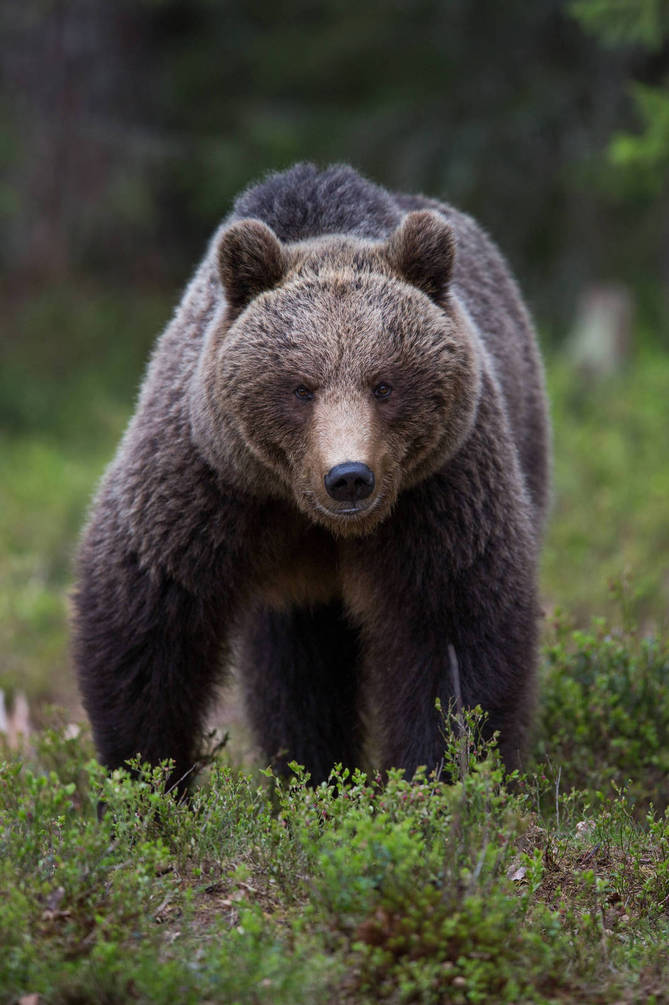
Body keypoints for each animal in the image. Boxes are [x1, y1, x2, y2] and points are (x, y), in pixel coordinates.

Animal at [72, 160, 550, 787]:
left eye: (384, 384)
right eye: (301, 387)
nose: (348, 477)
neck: (309, 515)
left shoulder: (441, 492)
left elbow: (455, 636)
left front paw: (437, 778)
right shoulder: (206, 484)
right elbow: (146, 623)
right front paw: (153, 780)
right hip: (290, 593)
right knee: (296, 675)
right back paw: (308, 772)